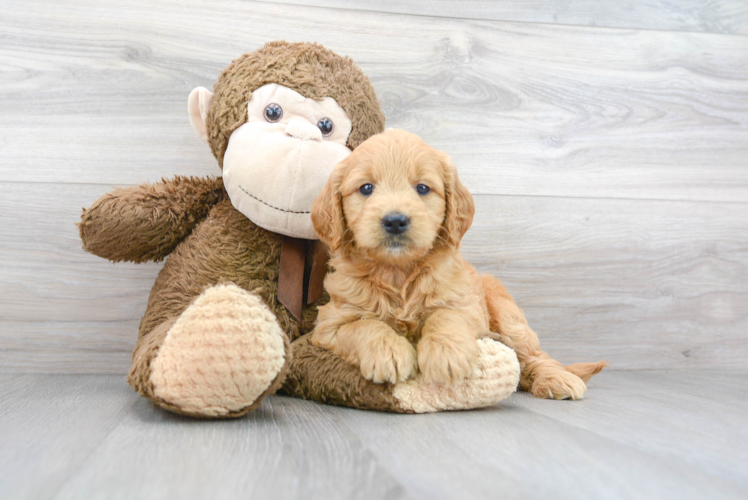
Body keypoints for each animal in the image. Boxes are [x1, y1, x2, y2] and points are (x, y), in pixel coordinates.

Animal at [310, 129, 608, 398]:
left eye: (422, 188)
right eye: (366, 188)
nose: (395, 220)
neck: (398, 271)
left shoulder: (464, 303)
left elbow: (446, 316)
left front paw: (446, 354)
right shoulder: (330, 323)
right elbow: (364, 326)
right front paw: (389, 352)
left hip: (506, 312)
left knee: (532, 354)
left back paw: (555, 378)